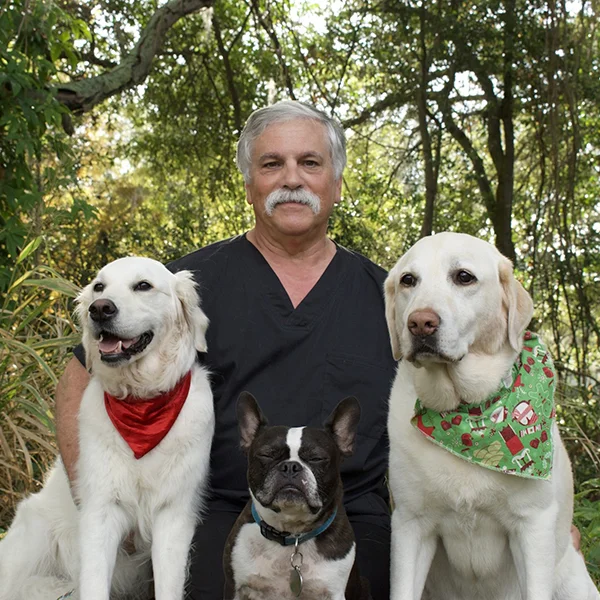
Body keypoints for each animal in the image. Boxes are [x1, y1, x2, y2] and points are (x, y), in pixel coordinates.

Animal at [0, 258, 216, 600]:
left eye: (143, 285)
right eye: (99, 287)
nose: (100, 309)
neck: (141, 406)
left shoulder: (173, 515)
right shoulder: (101, 512)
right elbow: (93, 585)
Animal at [386, 233, 596, 600]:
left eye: (463, 277)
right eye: (408, 280)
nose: (420, 323)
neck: (465, 413)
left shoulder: (533, 528)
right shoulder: (410, 525)